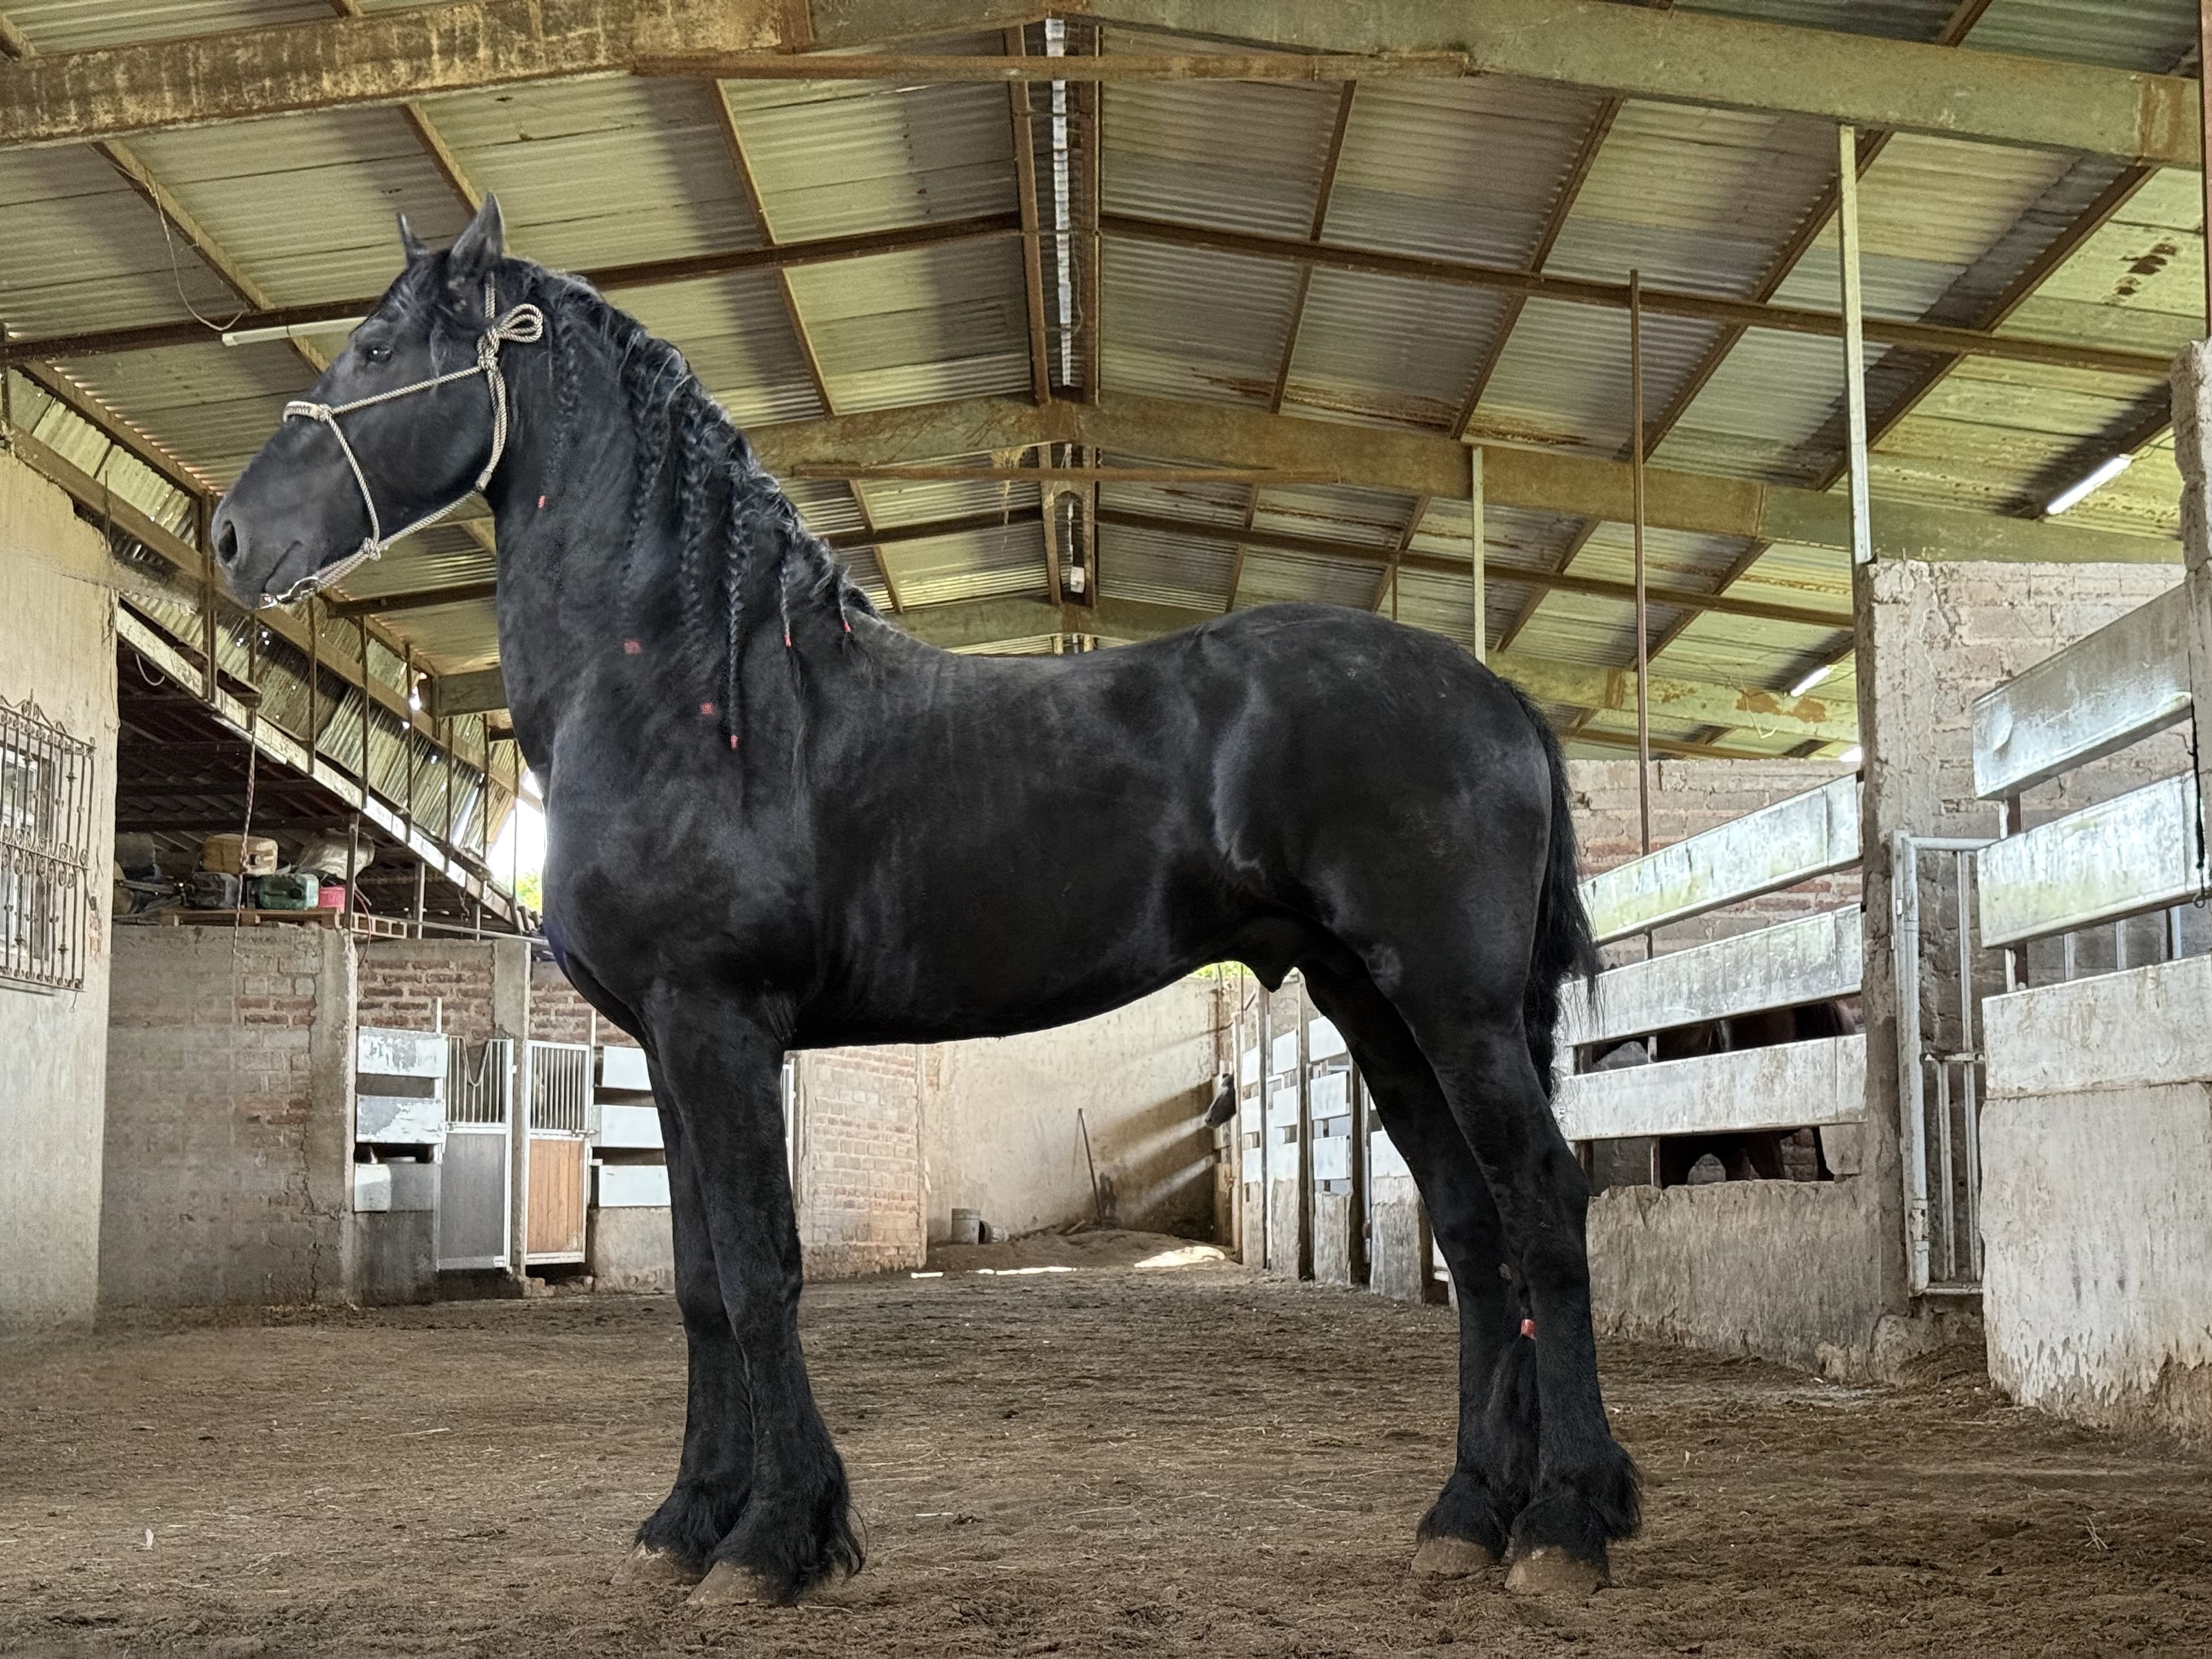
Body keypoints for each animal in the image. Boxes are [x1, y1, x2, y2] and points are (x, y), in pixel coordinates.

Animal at [211, 196, 1640, 1606]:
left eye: (378, 350)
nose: (231, 536)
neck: (702, 696)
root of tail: (1497, 694)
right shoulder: (668, 1045)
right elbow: (698, 1284)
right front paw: (688, 1521)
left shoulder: (720, 1024)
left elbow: (761, 1273)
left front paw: (773, 1542)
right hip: (1374, 1005)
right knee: (1475, 1227)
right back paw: (1469, 1516)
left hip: (1449, 1004)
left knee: (1543, 1206)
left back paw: (1566, 1524)